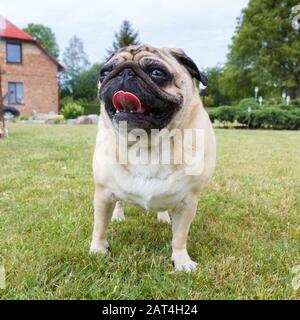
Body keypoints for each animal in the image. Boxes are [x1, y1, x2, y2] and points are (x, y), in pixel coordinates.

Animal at [89, 43, 216, 272]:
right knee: (119, 202)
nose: (124, 72)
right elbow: (100, 226)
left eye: (157, 73)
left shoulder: (188, 202)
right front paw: (98, 250)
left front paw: (181, 261)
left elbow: (179, 237)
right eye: (104, 72)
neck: (146, 145)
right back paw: (118, 215)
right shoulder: (103, 193)